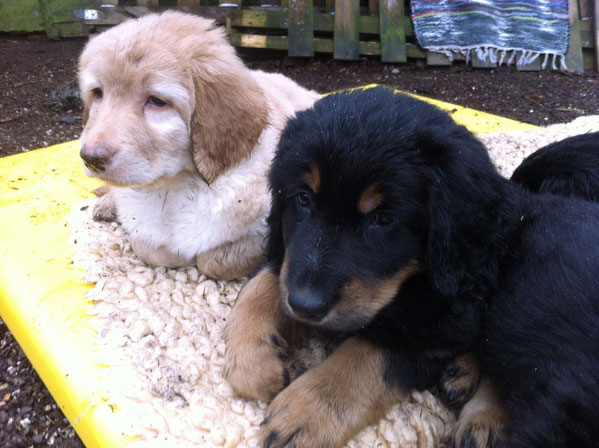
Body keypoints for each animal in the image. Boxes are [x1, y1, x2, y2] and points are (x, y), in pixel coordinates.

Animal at [79, 12, 324, 280]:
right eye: (98, 93)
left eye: (157, 101)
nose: (90, 158)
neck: (176, 188)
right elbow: (150, 248)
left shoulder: (270, 229)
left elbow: (212, 260)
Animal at [224, 88, 599, 448]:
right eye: (303, 199)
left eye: (383, 219)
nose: (306, 306)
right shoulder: (291, 259)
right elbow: (265, 279)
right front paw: (252, 359)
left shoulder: (442, 320)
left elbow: (370, 354)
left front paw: (307, 411)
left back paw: (482, 412)